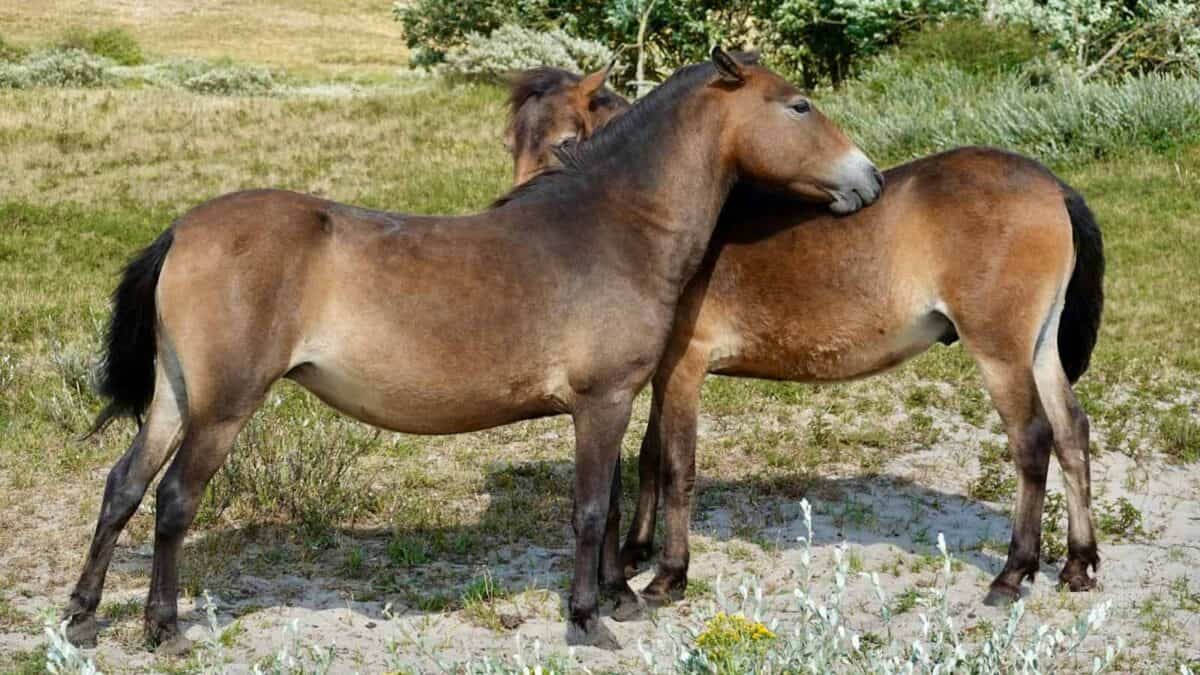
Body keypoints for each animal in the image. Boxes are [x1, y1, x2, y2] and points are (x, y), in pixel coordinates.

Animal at [62, 48, 882, 653]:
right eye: (799, 104)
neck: (616, 226)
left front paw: (619, 599)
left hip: (176, 398)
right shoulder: (604, 400)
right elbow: (590, 507)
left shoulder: (608, 401)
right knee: (174, 499)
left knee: (124, 486)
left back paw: (82, 616)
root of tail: (184, 229)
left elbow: (614, 499)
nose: (869, 180)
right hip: (224, 407)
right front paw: (588, 620)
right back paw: (164, 629)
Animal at [503, 65, 1104, 608]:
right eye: (510, 142)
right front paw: (636, 551)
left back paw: (1012, 573)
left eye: (565, 144)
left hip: (1001, 352)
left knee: (1033, 440)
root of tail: (1050, 185)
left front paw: (669, 575)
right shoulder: (661, 374)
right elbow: (651, 456)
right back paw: (1078, 564)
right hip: (1039, 349)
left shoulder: (683, 368)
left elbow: (677, 466)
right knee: (1072, 433)